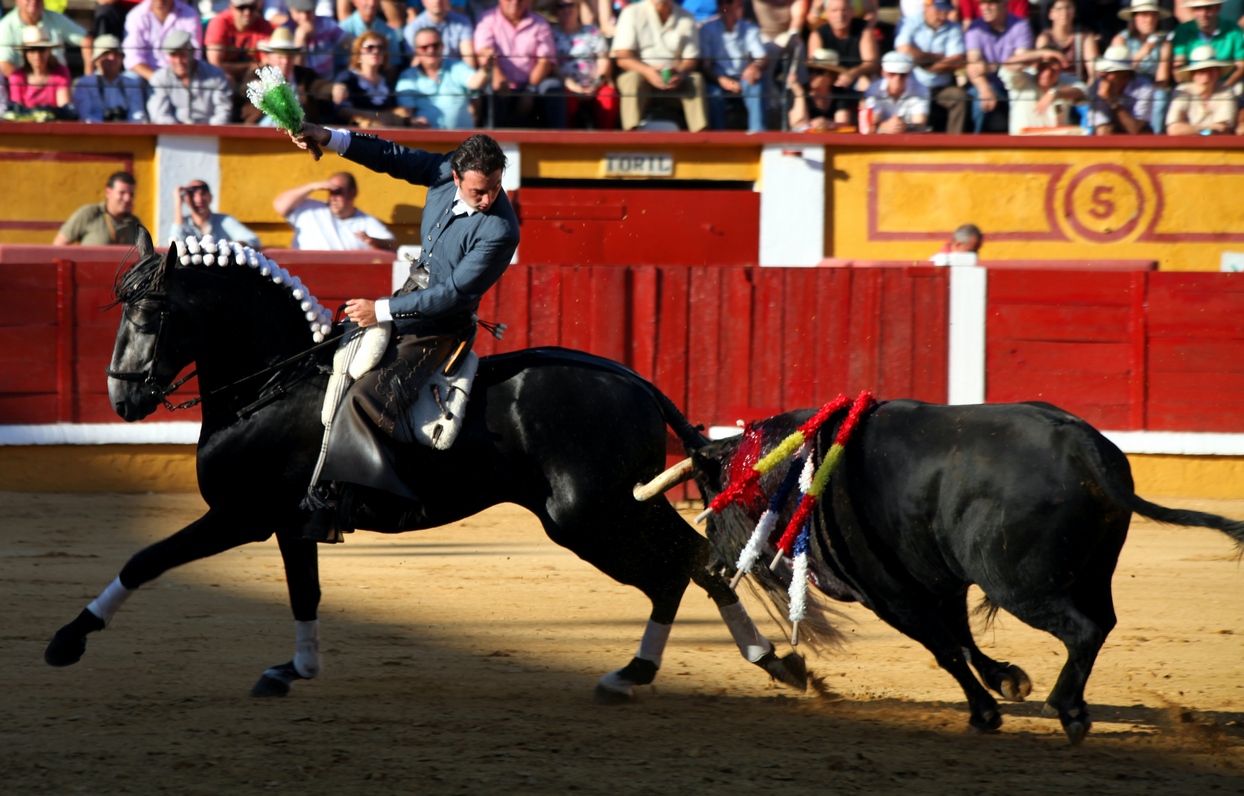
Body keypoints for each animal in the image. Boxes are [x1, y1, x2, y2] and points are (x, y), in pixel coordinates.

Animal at [41, 233, 806, 701]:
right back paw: (763, 660)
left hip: (587, 515)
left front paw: (67, 640)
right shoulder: (288, 524)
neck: (274, 382)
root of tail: (636, 383)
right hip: (617, 505)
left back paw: (652, 670)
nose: (122, 396)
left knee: (676, 568)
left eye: (151, 315)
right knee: (699, 559)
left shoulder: (239, 516)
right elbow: (304, 593)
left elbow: (145, 560)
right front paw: (294, 668)